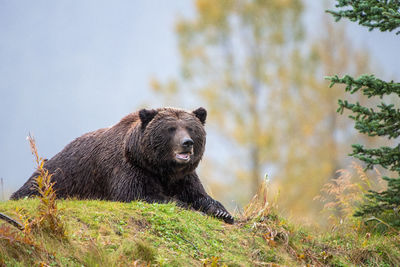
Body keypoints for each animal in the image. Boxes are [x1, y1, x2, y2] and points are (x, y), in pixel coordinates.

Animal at [10, 108, 234, 225]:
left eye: (190, 128)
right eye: (171, 129)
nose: (187, 142)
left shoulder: (182, 177)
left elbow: (199, 195)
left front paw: (222, 212)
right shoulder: (128, 169)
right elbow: (139, 194)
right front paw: (185, 205)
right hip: (54, 177)